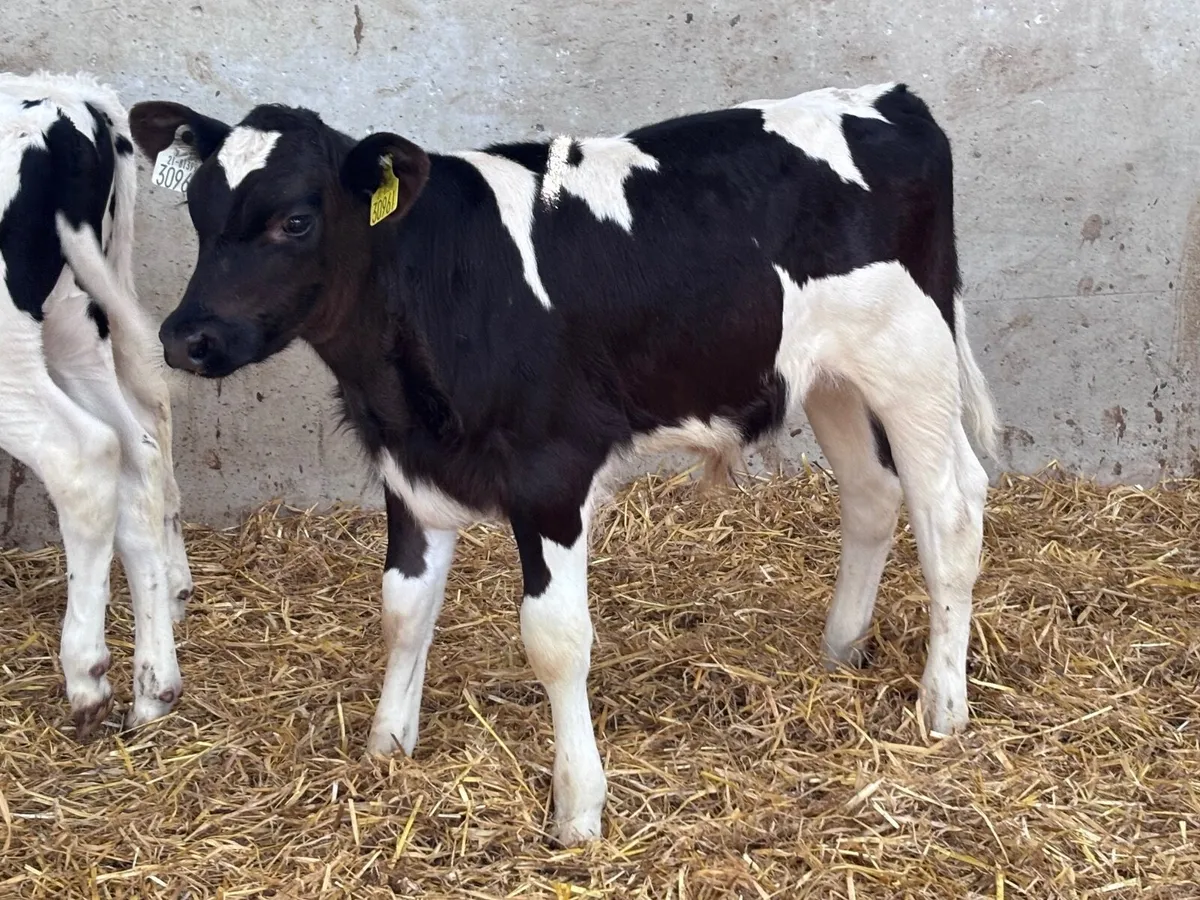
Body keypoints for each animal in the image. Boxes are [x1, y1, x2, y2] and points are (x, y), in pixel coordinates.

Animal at [0, 72, 194, 738]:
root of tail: (67, 102)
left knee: (83, 456)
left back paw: (87, 675)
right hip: (75, 321)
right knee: (139, 449)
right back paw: (154, 686)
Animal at [128, 81, 996, 845]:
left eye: (297, 220)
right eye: (199, 213)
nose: (185, 337)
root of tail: (894, 100)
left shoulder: (552, 475)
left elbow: (555, 639)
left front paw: (578, 807)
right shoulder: (408, 473)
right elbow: (403, 611)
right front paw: (387, 747)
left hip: (912, 358)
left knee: (950, 511)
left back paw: (942, 705)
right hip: (828, 378)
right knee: (873, 492)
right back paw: (841, 647)